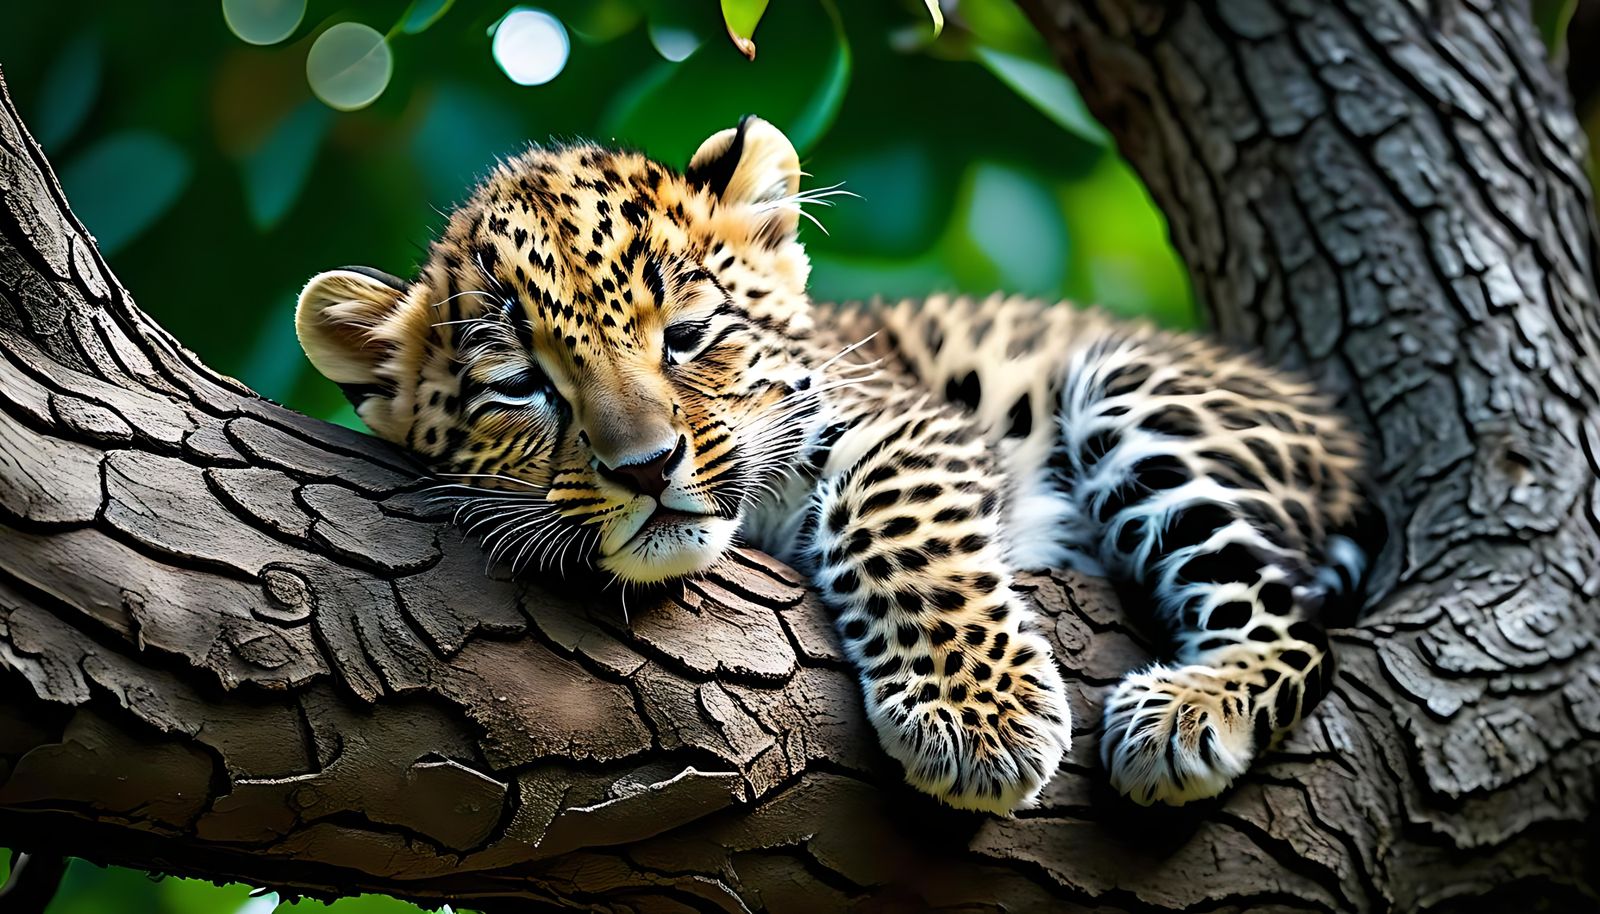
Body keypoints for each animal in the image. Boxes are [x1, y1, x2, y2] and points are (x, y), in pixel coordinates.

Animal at [296, 116, 1367, 813]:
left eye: (687, 337)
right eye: (521, 386)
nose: (645, 467)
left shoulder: (903, 415)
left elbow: (902, 522)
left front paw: (980, 718)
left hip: (1133, 388)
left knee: (1300, 627)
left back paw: (1187, 708)